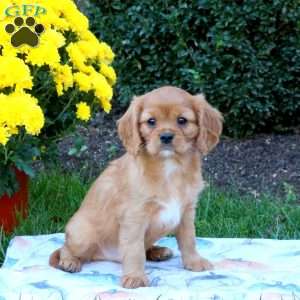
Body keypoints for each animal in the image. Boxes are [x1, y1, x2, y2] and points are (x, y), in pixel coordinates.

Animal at [49, 85, 223, 290]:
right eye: (151, 122)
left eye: (182, 120)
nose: (166, 136)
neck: (169, 167)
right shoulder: (135, 217)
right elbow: (134, 250)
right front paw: (135, 277)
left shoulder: (186, 212)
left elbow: (189, 240)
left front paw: (194, 262)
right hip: (82, 234)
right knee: (65, 248)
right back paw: (69, 262)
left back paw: (158, 251)